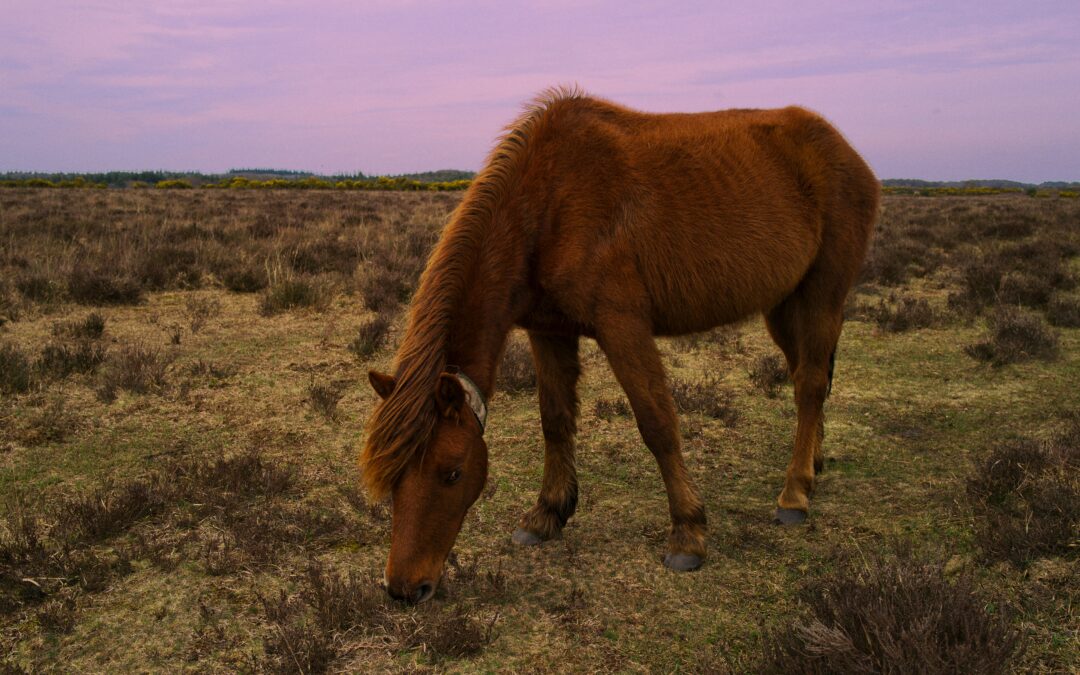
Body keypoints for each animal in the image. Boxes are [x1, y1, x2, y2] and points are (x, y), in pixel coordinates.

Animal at [362, 86, 876, 604]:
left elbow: (657, 424)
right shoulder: (549, 331)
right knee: (807, 376)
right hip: (783, 305)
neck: (545, 204)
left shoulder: (622, 326)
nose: (404, 589)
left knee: (810, 385)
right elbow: (555, 420)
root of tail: (846, 152)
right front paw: (548, 512)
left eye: (451, 471)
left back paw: (794, 494)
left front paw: (688, 533)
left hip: (822, 296)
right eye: (393, 477)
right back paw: (813, 465)